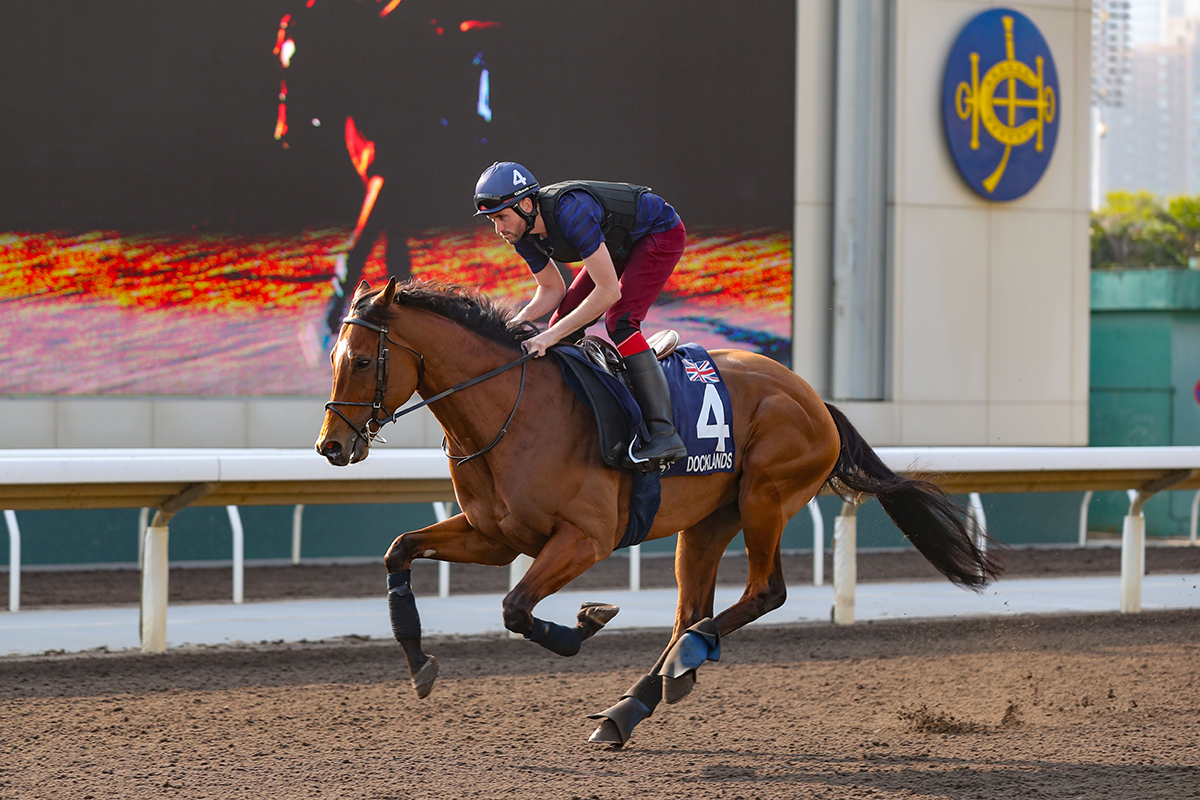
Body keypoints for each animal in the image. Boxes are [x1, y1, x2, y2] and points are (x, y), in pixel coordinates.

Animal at [314, 278, 998, 748]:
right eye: (335, 358)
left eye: (364, 361)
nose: (331, 446)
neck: (511, 409)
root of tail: (814, 398)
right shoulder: (494, 536)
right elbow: (400, 550)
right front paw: (419, 664)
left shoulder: (585, 538)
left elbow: (515, 608)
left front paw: (587, 620)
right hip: (707, 522)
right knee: (690, 611)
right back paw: (638, 701)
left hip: (765, 495)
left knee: (763, 592)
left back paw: (682, 663)